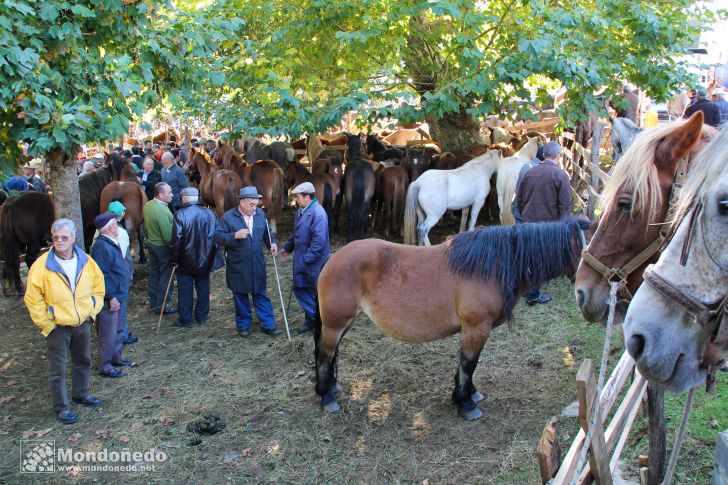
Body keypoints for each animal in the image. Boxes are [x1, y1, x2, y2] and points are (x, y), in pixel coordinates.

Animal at [314, 217, 592, 418]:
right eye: (584, 249)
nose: (585, 295)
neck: (489, 266)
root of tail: (332, 259)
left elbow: (466, 364)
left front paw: (469, 394)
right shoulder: (476, 327)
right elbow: (469, 363)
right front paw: (466, 403)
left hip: (343, 323)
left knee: (330, 352)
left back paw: (331, 387)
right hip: (335, 323)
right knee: (325, 354)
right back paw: (327, 397)